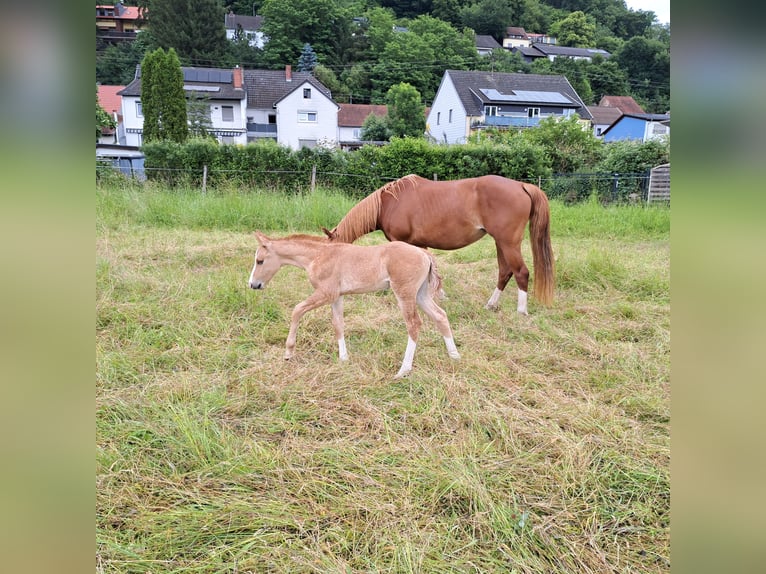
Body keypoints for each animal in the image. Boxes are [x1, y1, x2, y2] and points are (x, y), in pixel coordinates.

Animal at [247, 232, 460, 379]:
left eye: (260, 261)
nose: (253, 284)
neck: (318, 255)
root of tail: (424, 253)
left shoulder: (326, 293)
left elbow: (297, 310)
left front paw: (288, 352)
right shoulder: (337, 296)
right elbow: (338, 325)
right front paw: (343, 359)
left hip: (404, 293)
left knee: (414, 324)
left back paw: (403, 370)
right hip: (421, 294)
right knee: (440, 315)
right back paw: (454, 356)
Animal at [323, 174, 555, 314]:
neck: (389, 203)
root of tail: (522, 185)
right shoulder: (420, 245)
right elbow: (432, 271)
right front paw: (440, 295)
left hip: (508, 243)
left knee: (521, 272)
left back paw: (521, 311)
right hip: (501, 243)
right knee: (505, 272)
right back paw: (491, 304)